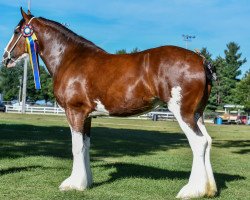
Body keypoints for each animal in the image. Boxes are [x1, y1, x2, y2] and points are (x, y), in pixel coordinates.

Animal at [1, 8, 217, 198]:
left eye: (16, 31)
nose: (5, 57)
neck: (69, 58)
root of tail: (201, 61)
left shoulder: (74, 112)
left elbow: (76, 147)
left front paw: (73, 184)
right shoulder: (87, 116)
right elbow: (85, 146)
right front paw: (85, 182)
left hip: (183, 112)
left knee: (198, 142)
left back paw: (191, 190)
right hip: (197, 114)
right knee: (207, 141)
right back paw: (209, 189)